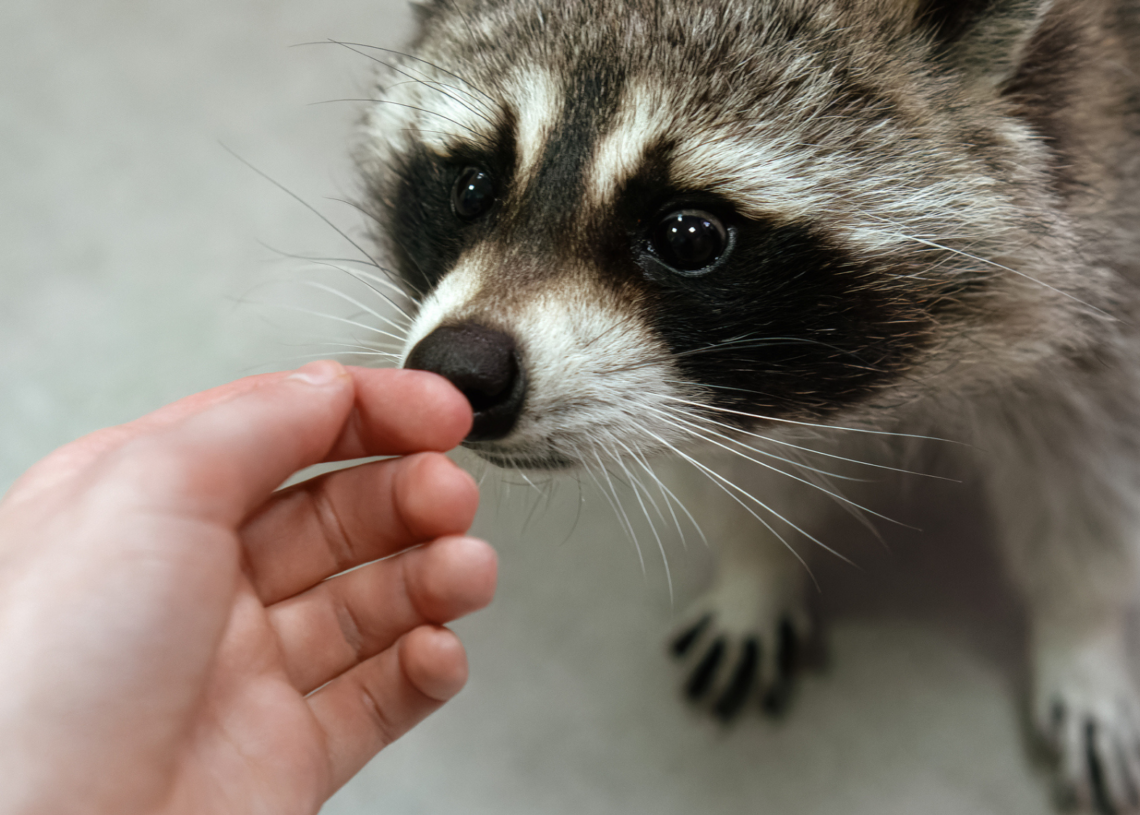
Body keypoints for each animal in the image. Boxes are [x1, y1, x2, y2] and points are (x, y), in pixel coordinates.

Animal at [353, 0, 1140, 810]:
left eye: (689, 234)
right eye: (472, 186)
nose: (457, 369)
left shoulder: (1109, 240)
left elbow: (1088, 484)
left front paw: (1083, 636)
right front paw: (757, 565)